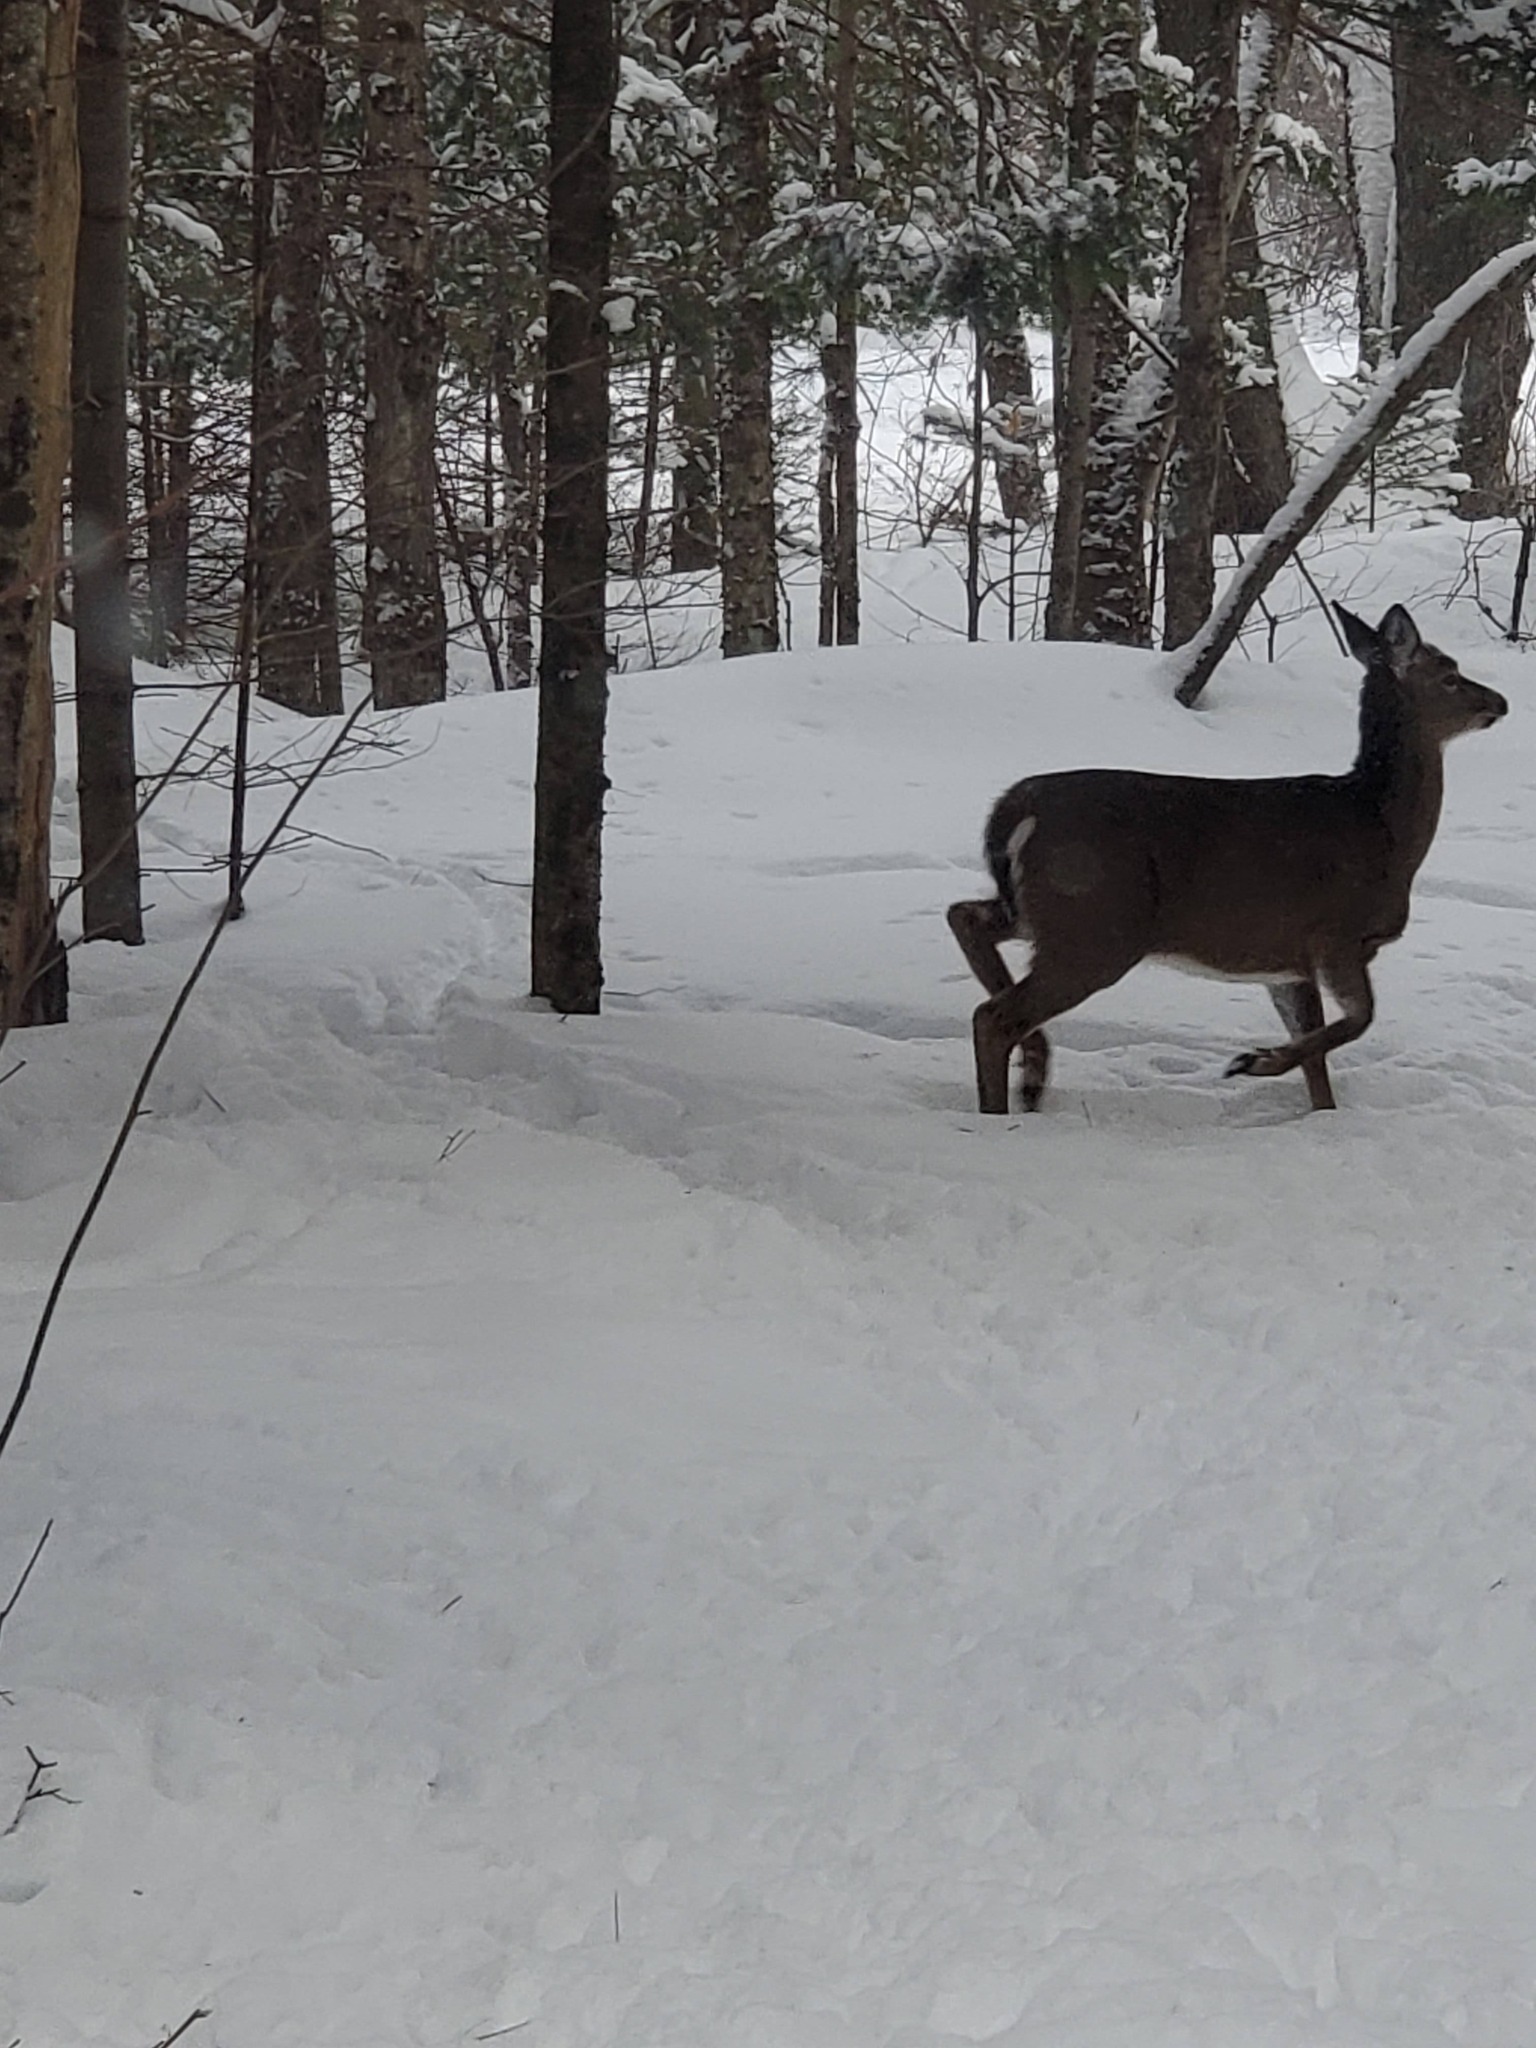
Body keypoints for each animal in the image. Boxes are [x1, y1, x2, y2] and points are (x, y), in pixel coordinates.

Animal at [947, 604, 1507, 1116]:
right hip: (1095, 923)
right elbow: (1357, 1021)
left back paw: (1033, 1073)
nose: (1499, 702)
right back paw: (1002, 1107)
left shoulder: (1286, 962)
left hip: (1043, 911)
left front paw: (1312, 1106)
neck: (1383, 828)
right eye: (1450, 675)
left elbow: (1318, 1062)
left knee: (965, 918)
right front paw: (1254, 1061)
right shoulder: (1334, 935)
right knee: (992, 1017)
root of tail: (1013, 807)